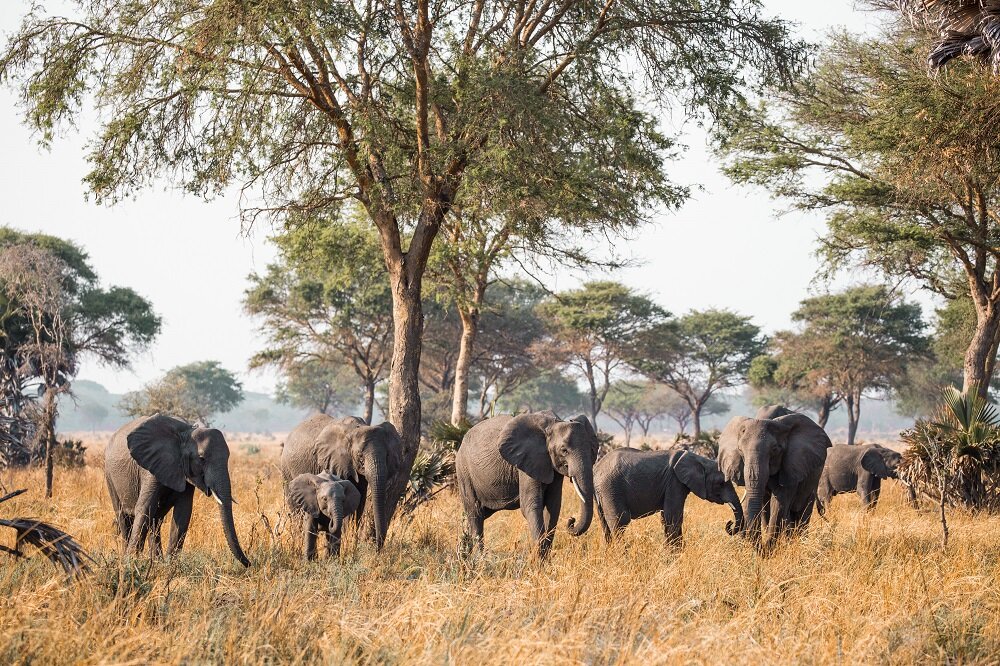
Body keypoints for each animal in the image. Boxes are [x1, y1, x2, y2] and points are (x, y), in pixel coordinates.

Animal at [104, 412, 252, 564]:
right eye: (201, 459)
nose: (249, 563)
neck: (187, 433)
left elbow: (183, 512)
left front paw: (170, 565)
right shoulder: (151, 467)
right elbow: (145, 508)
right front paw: (131, 562)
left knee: (155, 520)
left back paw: (156, 561)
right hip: (109, 474)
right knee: (123, 517)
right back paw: (126, 558)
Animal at [278, 416, 402, 548]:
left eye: (387, 456)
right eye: (360, 456)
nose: (377, 547)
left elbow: (360, 499)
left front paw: (351, 539)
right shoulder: (335, 462)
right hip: (286, 470)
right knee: (295, 509)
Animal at [458, 410, 596, 556]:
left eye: (591, 449)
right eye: (564, 450)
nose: (572, 520)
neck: (553, 424)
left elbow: (553, 506)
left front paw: (544, 557)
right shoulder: (527, 461)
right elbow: (530, 505)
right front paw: (539, 557)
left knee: (477, 516)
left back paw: (464, 553)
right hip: (464, 471)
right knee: (475, 513)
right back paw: (479, 557)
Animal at [588, 444, 748, 544]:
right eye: (721, 484)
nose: (729, 523)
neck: (700, 460)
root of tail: (596, 469)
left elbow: (667, 518)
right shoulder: (674, 481)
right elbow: (673, 517)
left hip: (601, 493)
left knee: (605, 526)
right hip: (610, 488)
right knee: (620, 522)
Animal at [716, 404, 832, 544]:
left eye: (775, 450)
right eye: (740, 450)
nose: (730, 523)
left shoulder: (791, 466)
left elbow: (779, 503)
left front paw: (769, 547)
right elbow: (764, 504)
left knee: (802, 510)